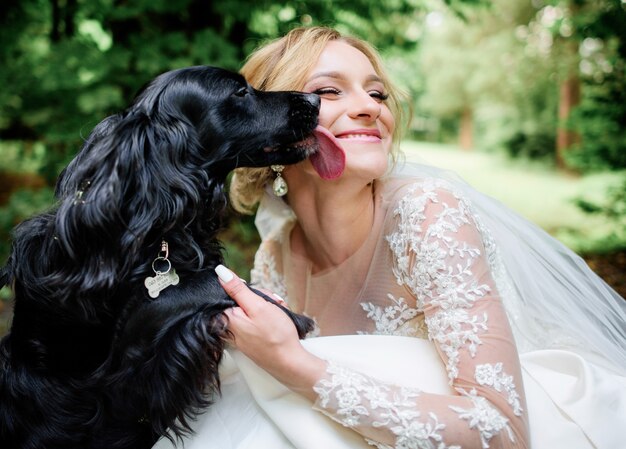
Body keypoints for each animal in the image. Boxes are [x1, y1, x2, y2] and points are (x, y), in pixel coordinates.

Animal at [0, 66, 316, 448]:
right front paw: (287, 314)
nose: (316, 99)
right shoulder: (120, 368)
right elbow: (185, 289)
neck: (156, 231)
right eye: (240, 92)